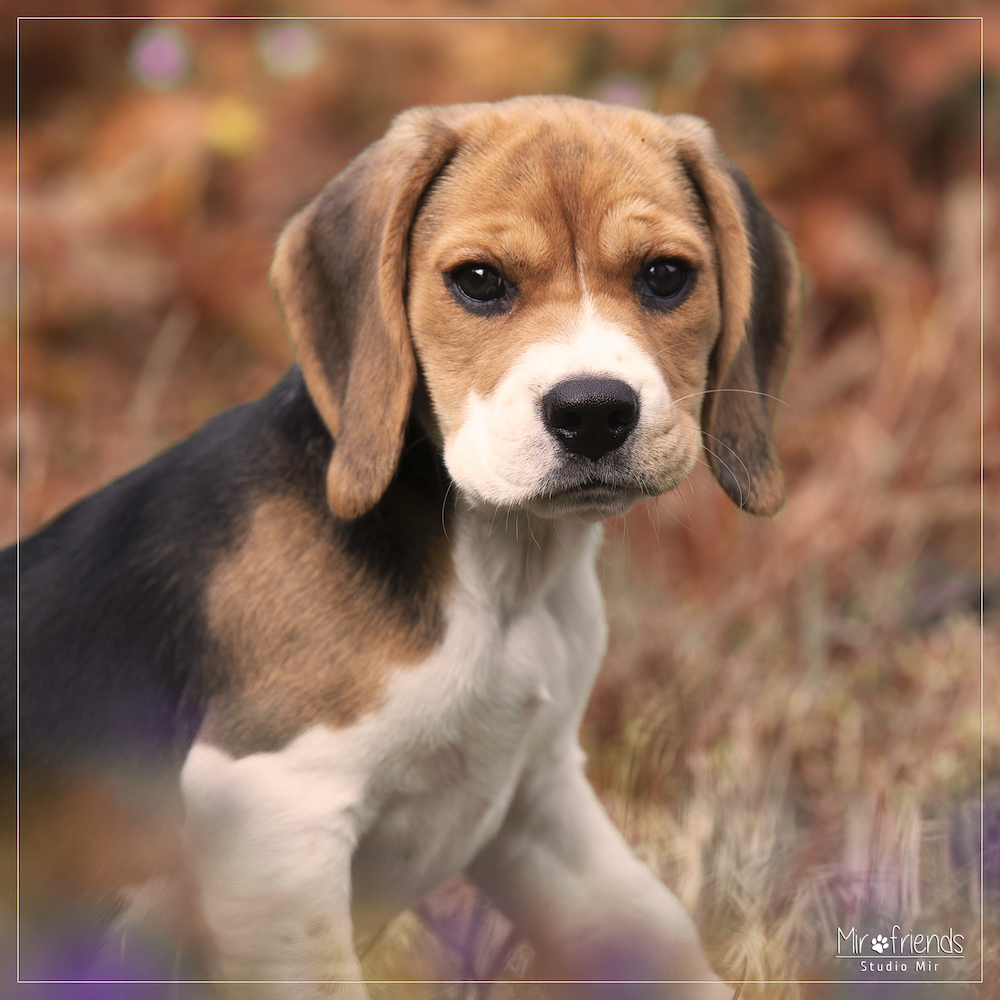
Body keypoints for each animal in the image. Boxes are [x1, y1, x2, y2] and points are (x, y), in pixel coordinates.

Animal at [0, 92, 796, 992]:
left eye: (666, 276)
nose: (593, 411)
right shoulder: (273, 815)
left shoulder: (541, 802)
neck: (498, 581)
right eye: (479, 281)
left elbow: (650, 929)